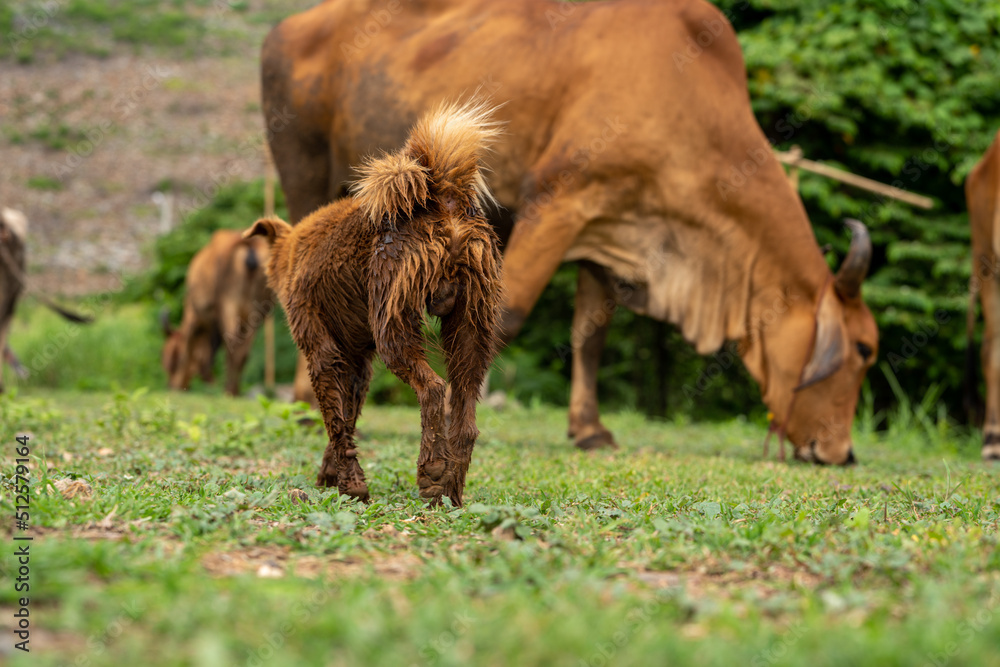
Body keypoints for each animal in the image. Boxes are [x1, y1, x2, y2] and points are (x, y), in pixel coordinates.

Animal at [246, 99, 504, 506]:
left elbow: (336, 424)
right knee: (465, 418)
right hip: (470, 333)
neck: (291, 253)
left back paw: (431, 470)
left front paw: (351, 484)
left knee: (433, 389)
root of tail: (442, 196)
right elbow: (347, 420)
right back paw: (449, 492)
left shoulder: (321, 354)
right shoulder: (357, 364)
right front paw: (332, 475)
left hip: (393, 327)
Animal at [262, 0, 880, 464]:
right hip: (305, 174)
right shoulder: (557, 202)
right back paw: (306, 402)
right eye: (864, 349)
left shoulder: (612, 231)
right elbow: (507, 315)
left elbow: (590, 334)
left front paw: (589, 429)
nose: (842, 453)